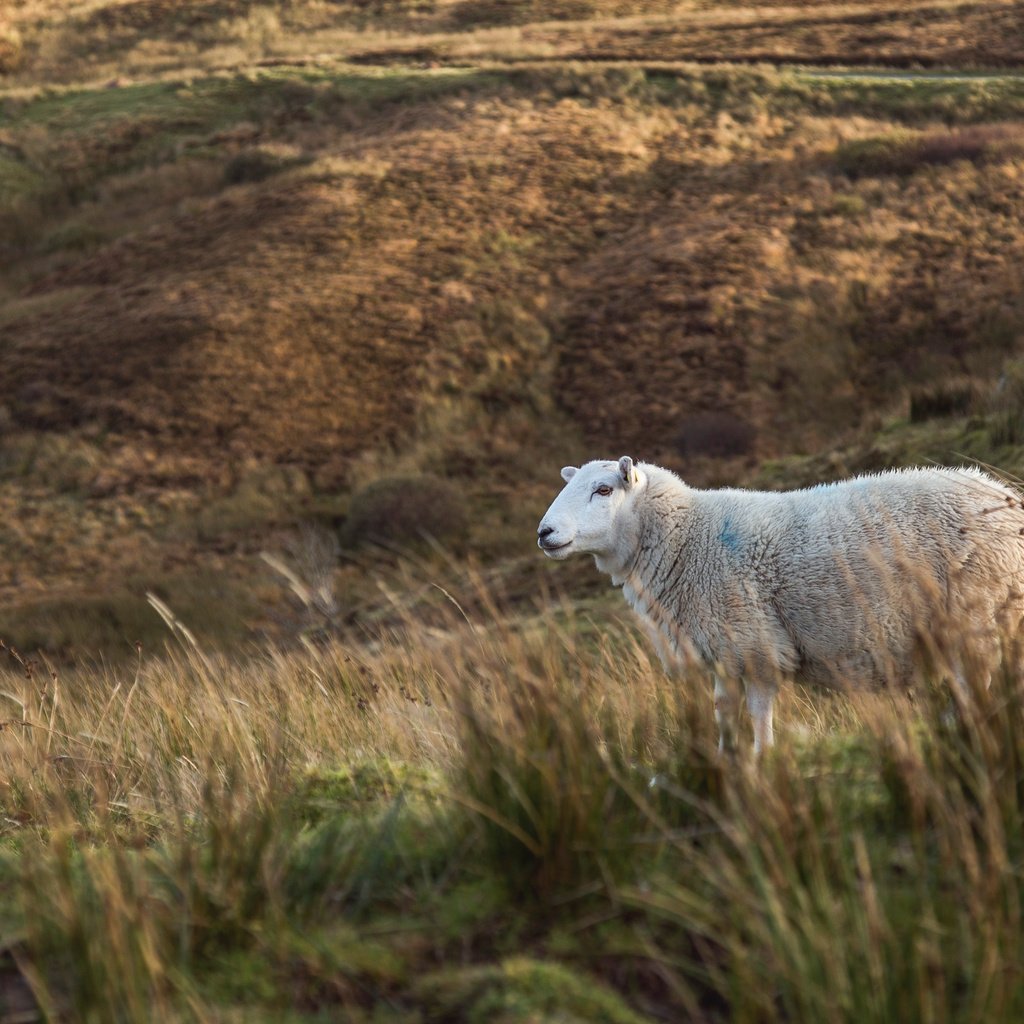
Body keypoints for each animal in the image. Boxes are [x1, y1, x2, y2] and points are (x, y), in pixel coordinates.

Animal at [536, 456, 1024, 753]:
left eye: (603, 490)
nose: (544, 533)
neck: (686, 537)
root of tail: (1005, 497)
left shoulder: (755, 644)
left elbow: (757, 715)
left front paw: (762, 762)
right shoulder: (725, 652)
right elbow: (723, 713)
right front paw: (726, 765)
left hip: (978, 614)